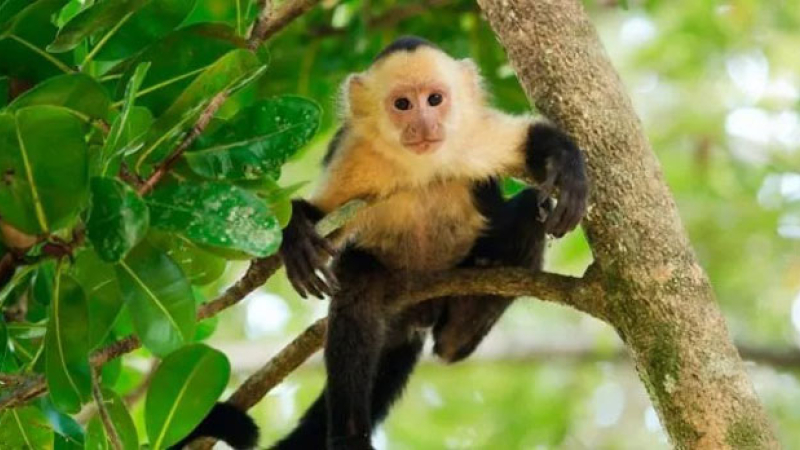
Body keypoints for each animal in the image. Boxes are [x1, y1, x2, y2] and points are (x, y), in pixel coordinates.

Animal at [175, 36, 588, 450]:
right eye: (402, 104)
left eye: (435, 99)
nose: (424, 123)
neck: (418, 167)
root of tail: (419, 311)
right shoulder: (355, 153)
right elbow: (325, 221)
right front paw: (295, 233)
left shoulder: (469, 137)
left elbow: (530, 144)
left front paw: (566, 166)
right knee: (359, 286)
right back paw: (350, 433)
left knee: (527, 218)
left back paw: (469, 316)